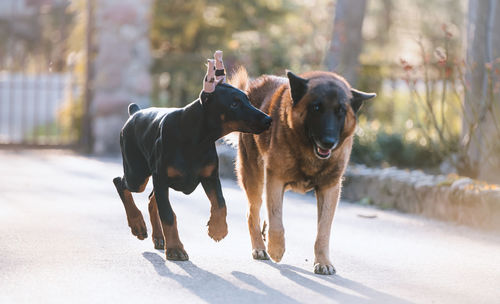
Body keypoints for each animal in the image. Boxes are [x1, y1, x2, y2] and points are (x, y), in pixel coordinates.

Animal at [113, 52, 272, 262]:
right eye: (234, 103)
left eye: (247, 99)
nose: (268, 119)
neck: (197, 138)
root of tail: (135, 112)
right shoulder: (161, 177)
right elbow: (168, 215)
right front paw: (175, 249)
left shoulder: (210, 176)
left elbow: (220, 202)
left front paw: (217, 229)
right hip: (137, 174)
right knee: (121, 183)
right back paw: (138, 225)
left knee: (151, 199)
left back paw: (158, 238)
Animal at [234, 69, 376, 276]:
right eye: (316, 108)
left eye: (340, 111)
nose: (329, 142)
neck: (309, 151)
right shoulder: (275, 179)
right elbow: (277, 220)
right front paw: (276, 249)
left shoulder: (329, 189)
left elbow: (323, 231)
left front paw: (323, 261)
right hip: (255, 180)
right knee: (253, 213)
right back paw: (260, 247)